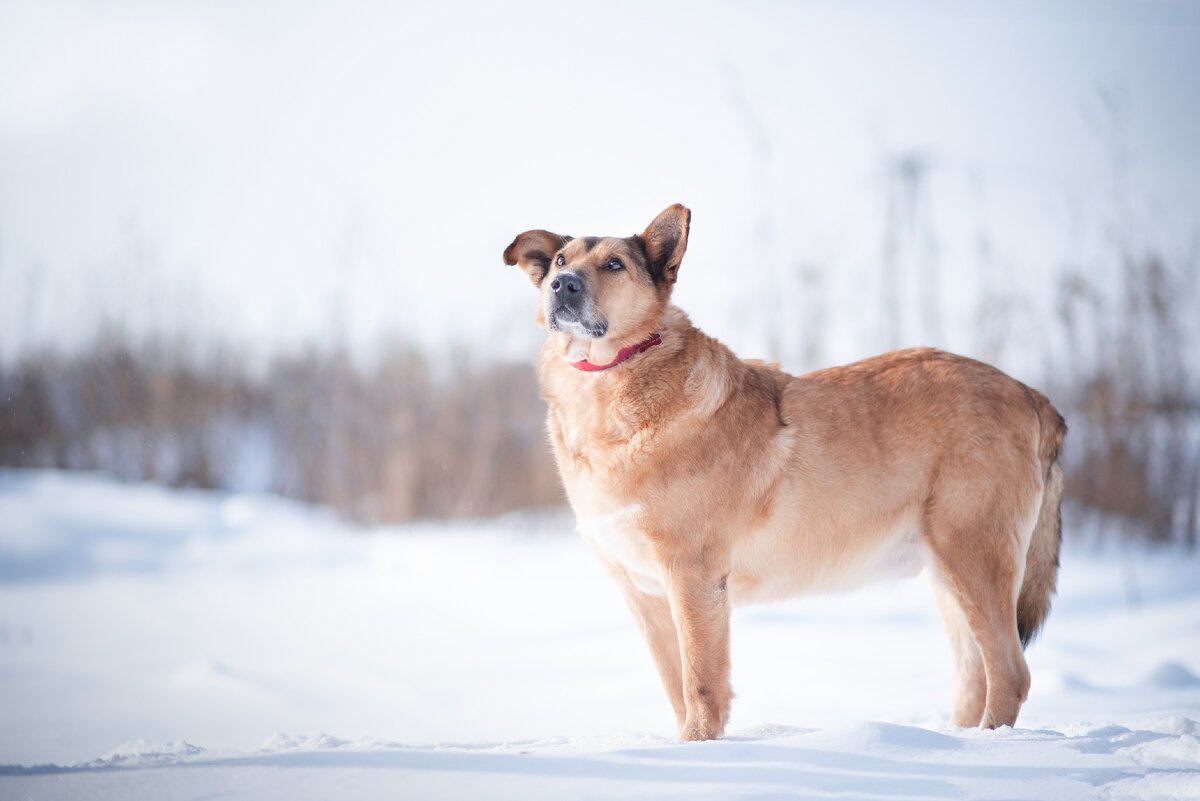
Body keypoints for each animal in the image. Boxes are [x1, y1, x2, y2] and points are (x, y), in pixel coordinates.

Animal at [501, 205, 1065, 738]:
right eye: (559, 261)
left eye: (614, 265)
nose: (562, 285)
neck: (609, 381)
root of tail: (1031, 394)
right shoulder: (643, 591)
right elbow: (675, 686)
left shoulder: (694, 577)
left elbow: (700, 684)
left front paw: (698, 749)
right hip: (947, 575)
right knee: (975, 677)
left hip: (972, 555)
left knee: (1010, 674)